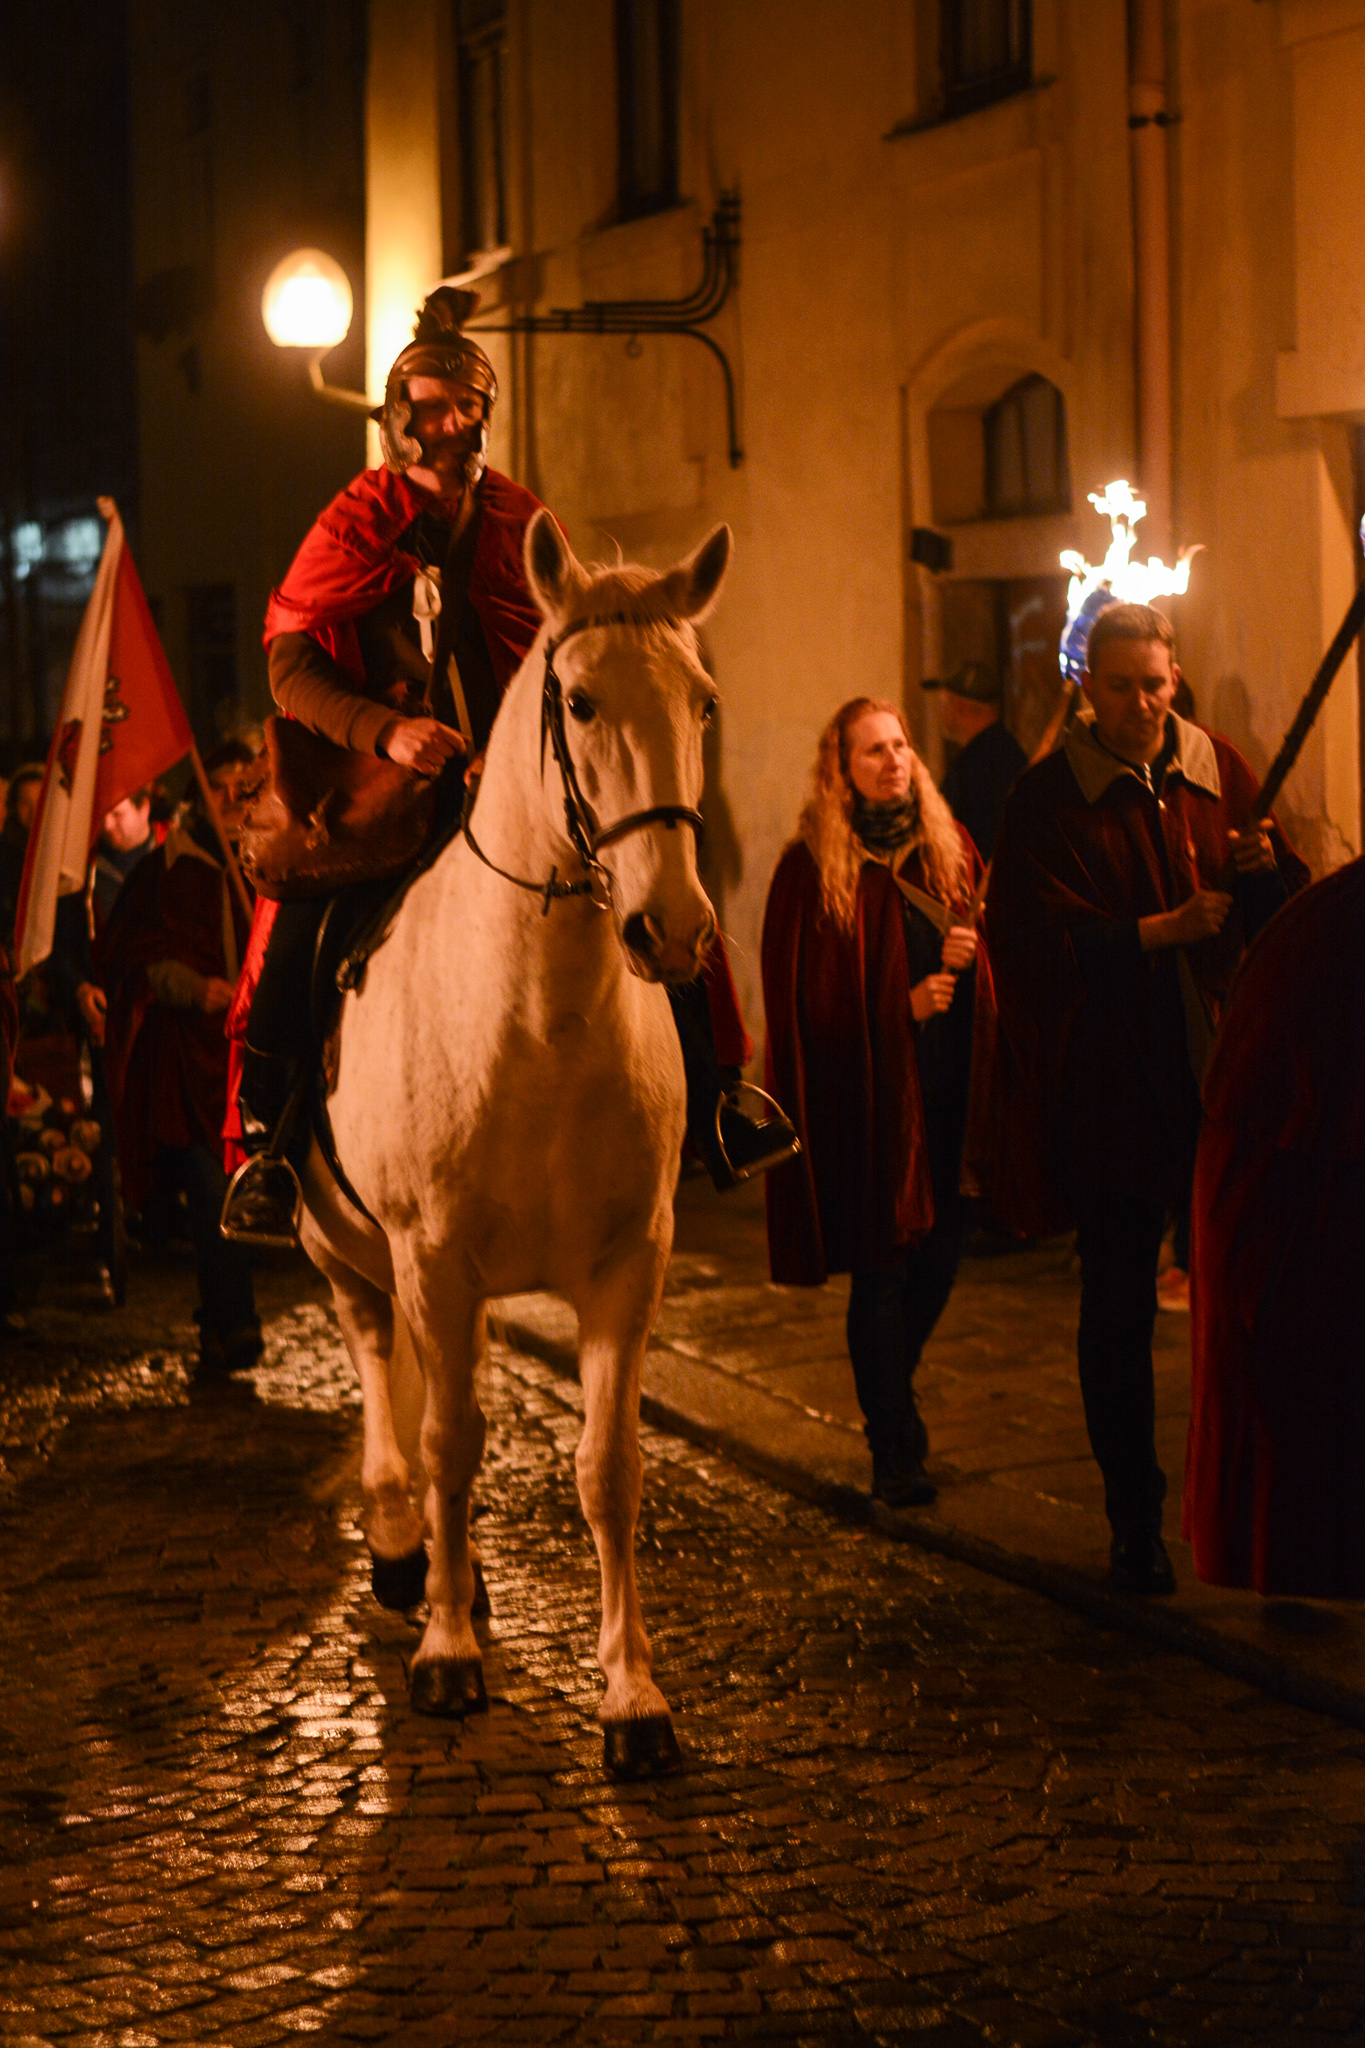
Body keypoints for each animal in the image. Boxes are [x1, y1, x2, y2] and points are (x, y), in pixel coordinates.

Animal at [295, 509, 730, 1779]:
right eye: (577, 702)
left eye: (701, 702)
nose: (672, 927)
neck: (540, 1021)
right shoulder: (430, 1253)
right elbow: (448, 1441)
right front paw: (446, 1648)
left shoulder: (627, 1265)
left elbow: (608, 1467)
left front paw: (633, 1694)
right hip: (343, 1244)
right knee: (380, 1366)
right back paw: (406, 1549)